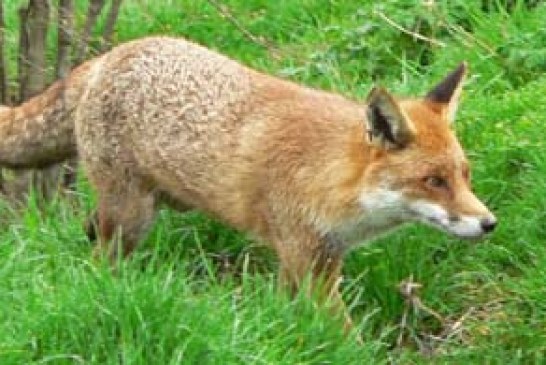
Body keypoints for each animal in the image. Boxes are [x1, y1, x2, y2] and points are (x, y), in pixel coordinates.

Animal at [0, 37, 492, 326]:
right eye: (433, 181)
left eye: (464, 176)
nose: (490, 224)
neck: (330, 178)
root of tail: (110, 54)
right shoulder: (307, 259)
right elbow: (342, 335)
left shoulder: (308, 260)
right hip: (131, 217)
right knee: (102, 260)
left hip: (147, 204)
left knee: (88, 229)